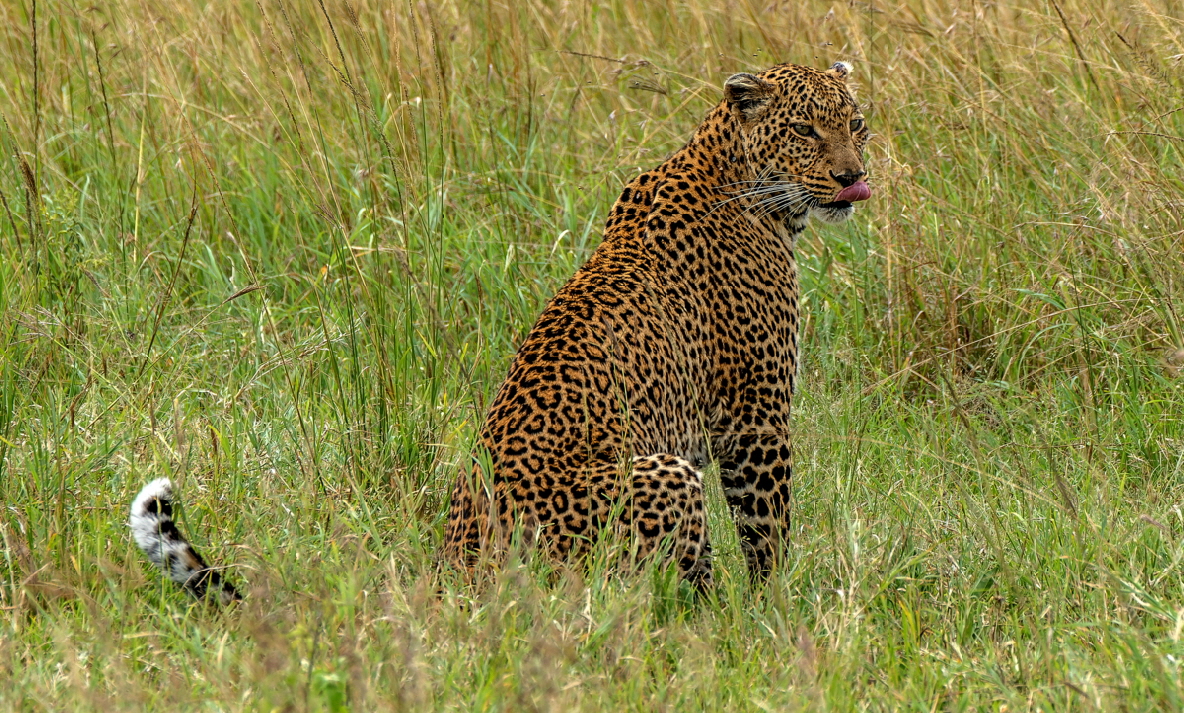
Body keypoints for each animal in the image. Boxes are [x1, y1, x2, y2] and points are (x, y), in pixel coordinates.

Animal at [129, 59, 871, 599]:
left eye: (858, 123)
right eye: (806, 130)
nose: (852, 176)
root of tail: (453, 573)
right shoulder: (756, 417)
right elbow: (767, 530)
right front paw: (772, 614)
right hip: (662, 473)